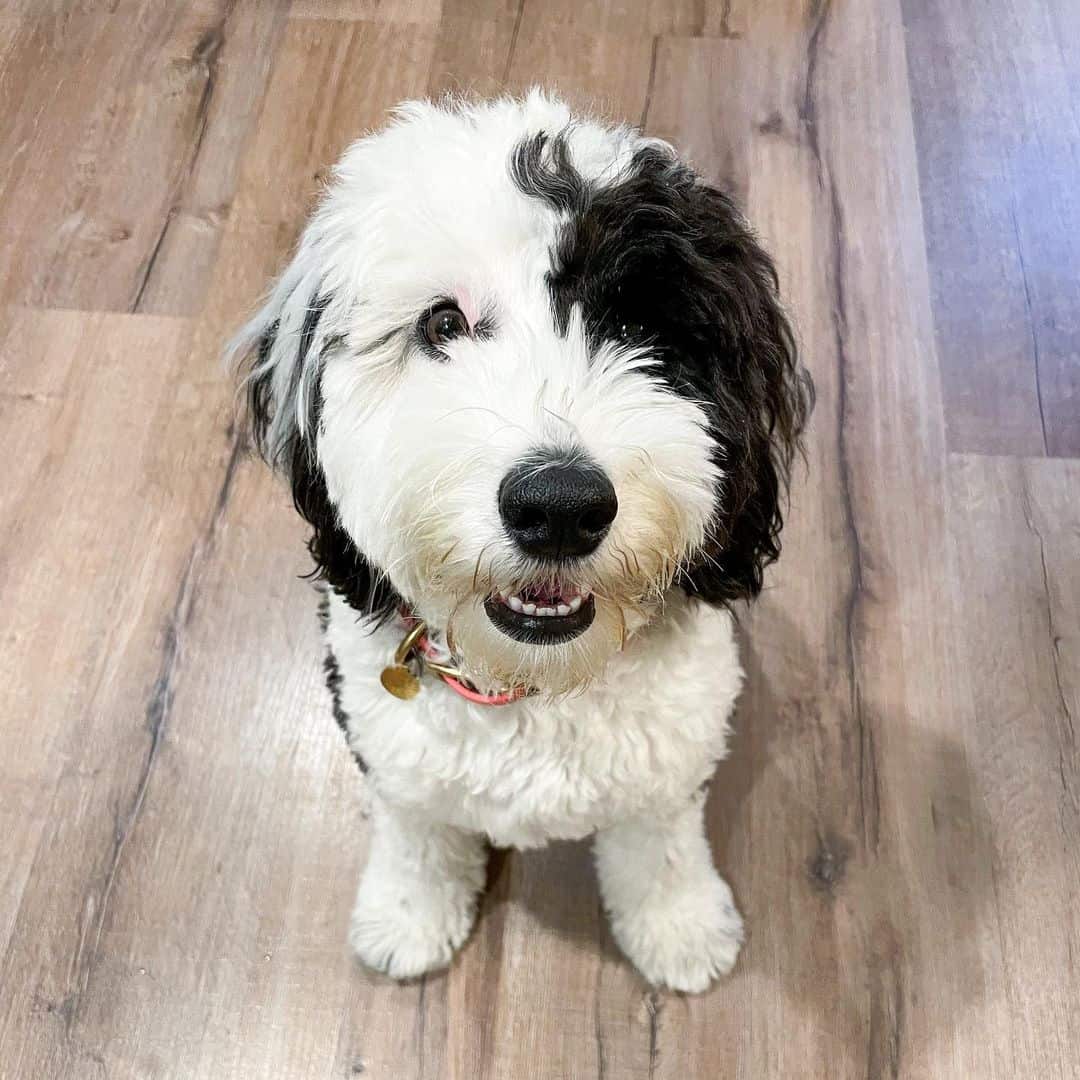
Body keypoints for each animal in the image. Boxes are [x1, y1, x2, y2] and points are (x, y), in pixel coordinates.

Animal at [234, 88, 812, 989]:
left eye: (638, 328)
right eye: (442, 324)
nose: (560, 504)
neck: (530, 686)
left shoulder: (672, 760)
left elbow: (661, 847)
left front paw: (681, 929)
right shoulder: (387, 747)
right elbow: (417, 831)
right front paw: (408, 916)